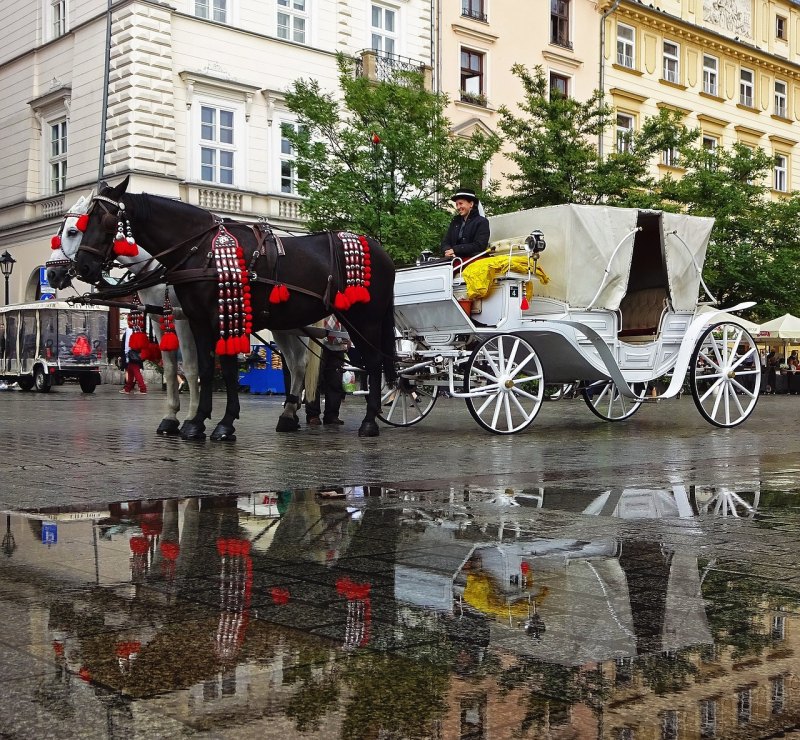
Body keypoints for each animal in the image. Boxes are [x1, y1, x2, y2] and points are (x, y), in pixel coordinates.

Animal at [76, 176, 396, 436]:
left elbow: (226, 369)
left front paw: (224, 423)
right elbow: (205, 368)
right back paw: (289, 417)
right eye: (82, 223)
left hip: (364, 320)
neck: (202, 250)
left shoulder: (221, 317)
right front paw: (196, 422)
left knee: (373, 364)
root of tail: (381, 250)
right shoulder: (197, 319)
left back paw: (369, 422)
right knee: (301, 364)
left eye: (106, 221)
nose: (83, 266)